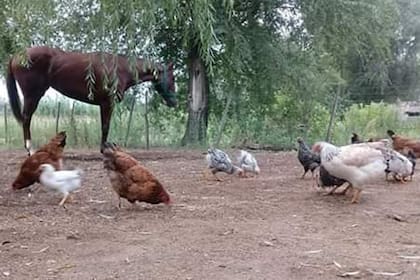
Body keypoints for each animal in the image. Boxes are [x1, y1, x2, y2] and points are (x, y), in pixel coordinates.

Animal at [6, 46, 177, 154]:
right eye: (173, 78)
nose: (174, 102)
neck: (120, 69)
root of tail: (16, 55)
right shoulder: (107, 103)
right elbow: (106, 126)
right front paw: (104, 149)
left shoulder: (102, 104)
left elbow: (104, 126)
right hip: (32, 95)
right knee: (26, 119)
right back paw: (30, 149)